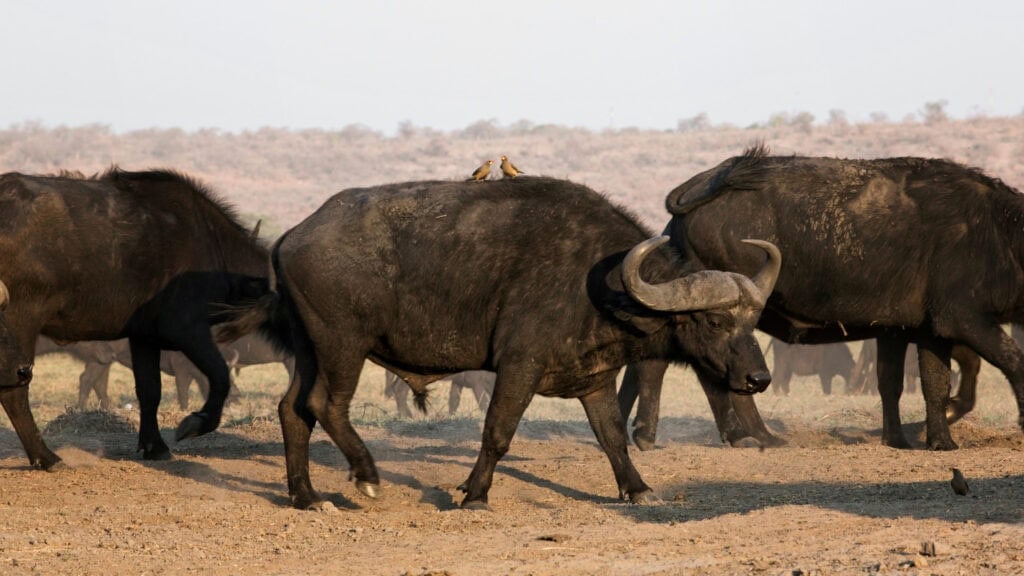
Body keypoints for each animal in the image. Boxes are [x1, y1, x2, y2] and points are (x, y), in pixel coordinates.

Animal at [0, 168, 268, 463]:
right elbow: (220, 376)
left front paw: (154, 446)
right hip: (20, 321)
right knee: (15, 388)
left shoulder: (143, 336)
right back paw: (46, 457)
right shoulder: (187, 328)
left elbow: (150, 389)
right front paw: (194, 423)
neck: (213, 243)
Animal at [655, 143, 1024, 448]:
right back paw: (760, 435)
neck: (998, 231)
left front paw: (926, 440)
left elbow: (919, 383)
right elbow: (1012, 363)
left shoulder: (915, 331)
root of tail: (706, 182)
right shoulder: (963, 321)